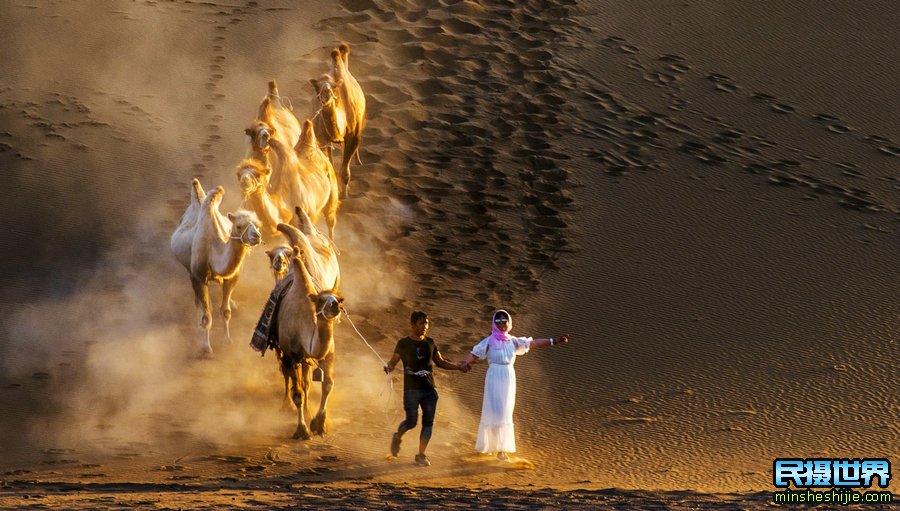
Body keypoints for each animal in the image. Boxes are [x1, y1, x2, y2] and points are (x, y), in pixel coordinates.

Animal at [170, 179, 260, 356]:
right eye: (239, 226)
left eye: (257, 225)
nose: (256, 236)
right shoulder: (198, 277)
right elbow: (206, 317)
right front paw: (206, 348)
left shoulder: (231, 277)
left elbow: (225, 312)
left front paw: (227, 340)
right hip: (190, 271)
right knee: (197, 301)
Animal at [272, 208, 340, 440]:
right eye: (319, 301)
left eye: (340, 299)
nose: (334, 307)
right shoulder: (290, 353)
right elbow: (298, 392)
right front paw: (302, 429)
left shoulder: (328, 352)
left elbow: (327, 384)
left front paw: (319, 423)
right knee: (292, 379)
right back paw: (286, 406)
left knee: (307, 379)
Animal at [310, 43, 366, 199]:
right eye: (317, 87)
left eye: (334, 87)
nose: (326, 92)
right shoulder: (323, 139)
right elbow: (330, 167)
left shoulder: (352, 137)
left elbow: (345, 172)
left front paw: (345, 196)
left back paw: (359, 161)